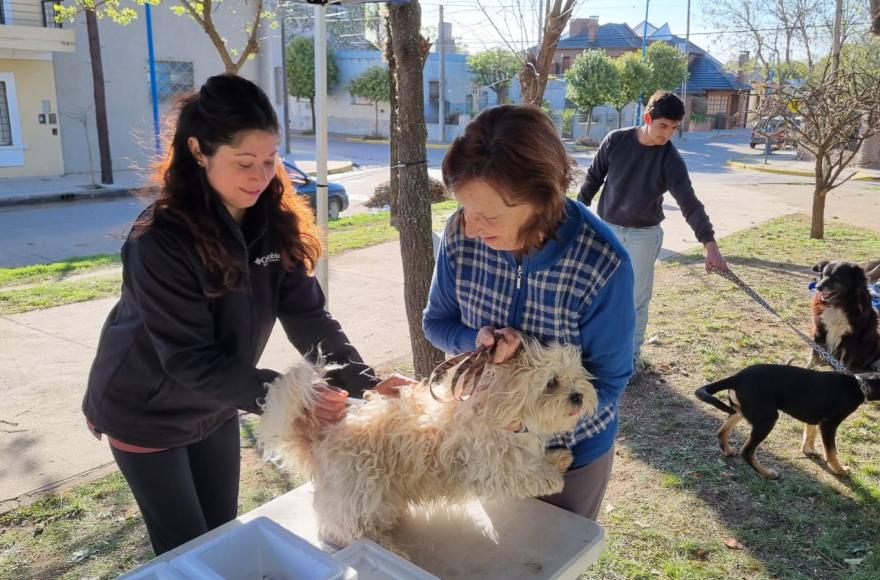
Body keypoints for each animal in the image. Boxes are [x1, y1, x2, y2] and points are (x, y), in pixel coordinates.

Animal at [256, 336, 600, 552]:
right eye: (551, 382)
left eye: (576, 375)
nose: (578, 396)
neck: (499, 403)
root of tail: (321, 439)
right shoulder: (488, 466)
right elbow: (523, 471)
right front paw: (551, 476)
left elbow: (528, 457)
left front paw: (558, 458)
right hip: (362, 490)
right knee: (347, 530)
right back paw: (388, 548)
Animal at [696, 364, 876, 478]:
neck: (860, 384)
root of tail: (737, 377)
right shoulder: (829, 425)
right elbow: (832, 451)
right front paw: (840, 470)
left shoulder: (813, 417)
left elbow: (810, 433)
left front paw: (809, 451)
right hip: (767, 418)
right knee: (747, 451)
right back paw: (767, 474)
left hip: (740, 410)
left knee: (722, 432)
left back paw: (728, 450)